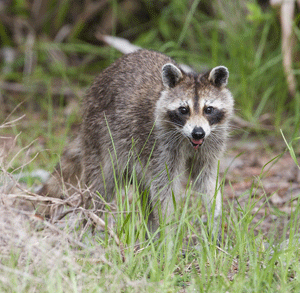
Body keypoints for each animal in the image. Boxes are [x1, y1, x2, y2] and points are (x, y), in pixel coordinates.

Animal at [38, 49, 233, 233]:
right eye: (183, 110)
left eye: (209, 109)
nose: (198, 133)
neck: (187, 139)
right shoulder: (159, 146)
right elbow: (164, 188)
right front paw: (169, 231)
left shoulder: (211, 142)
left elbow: (206, 180)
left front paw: (214, 217)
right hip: (98, 135)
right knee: (100, 184)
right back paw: (91, 224)